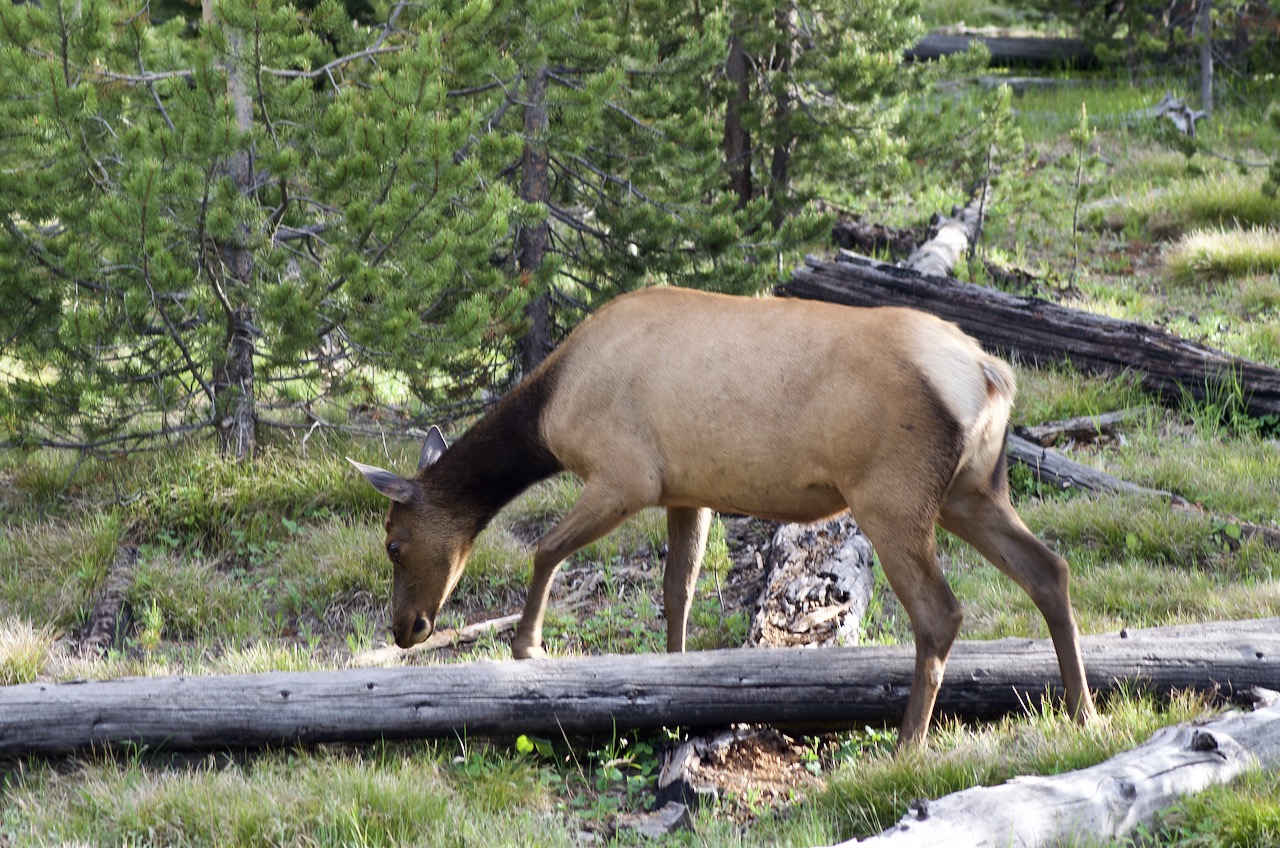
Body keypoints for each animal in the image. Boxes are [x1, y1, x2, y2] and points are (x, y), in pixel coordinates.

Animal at [353, 289, 1100, 748]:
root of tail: (991, 373)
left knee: (941, 611)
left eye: (393, 543)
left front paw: (527, 647)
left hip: (892, 496)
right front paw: (677, 683)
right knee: (1051, 570)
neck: (548, 416)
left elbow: (545, 552)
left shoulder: (624, 475)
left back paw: (909, 742)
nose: (406, 627)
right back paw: (1083, 711)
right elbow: (677, 589)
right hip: (973, 490)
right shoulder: (687, 491)